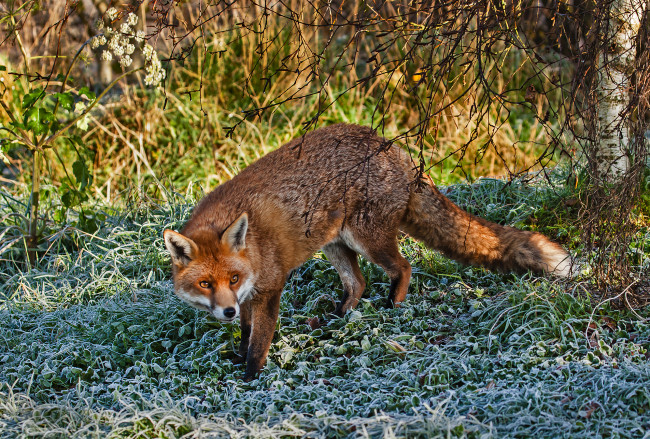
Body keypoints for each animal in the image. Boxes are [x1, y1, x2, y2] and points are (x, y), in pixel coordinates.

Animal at [165, 124, 568, 382]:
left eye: (231, 278)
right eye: (205, 284)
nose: (227, 311)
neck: (253, 248)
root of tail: (393, 146)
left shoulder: (269, 288)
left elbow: (259, 340)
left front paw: (249, 376)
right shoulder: (251, 295)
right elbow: (246, 332)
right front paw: (238, 356)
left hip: (366, 240)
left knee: (403, 266)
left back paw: (393, 305)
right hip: (335, 245)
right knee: (357, 283)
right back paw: (341, 316)